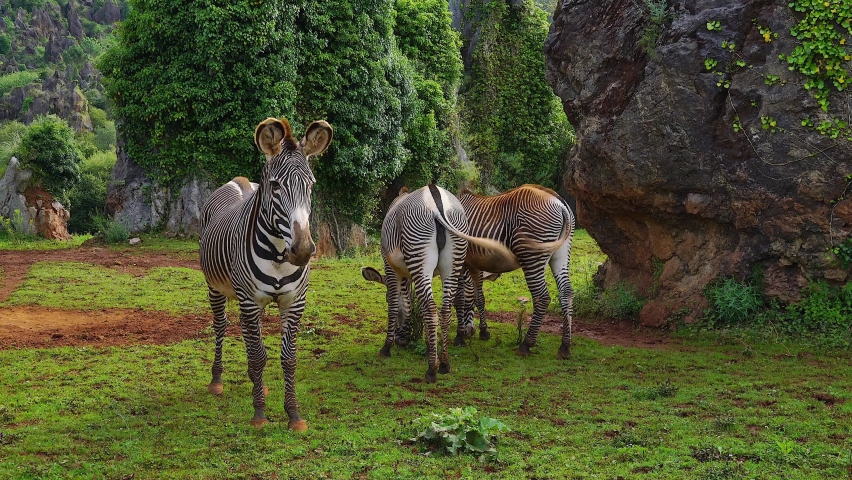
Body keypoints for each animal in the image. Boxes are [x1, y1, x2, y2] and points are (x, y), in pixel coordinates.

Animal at [199, 117, 332, 430]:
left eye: (311, 185)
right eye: (276, 186)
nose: (303, 250)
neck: (279, 254)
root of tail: (238, 181)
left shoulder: (294, 302)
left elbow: (288, 358)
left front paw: (293, 414)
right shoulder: (248, 300)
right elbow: (258, 356)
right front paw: (259, 413)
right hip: (215, 287)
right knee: (221, 326)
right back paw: (217, 380)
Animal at [361, 185, 514, 382]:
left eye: (385, 298)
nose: (401, 340)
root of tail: (436, 199)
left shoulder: (391, 267)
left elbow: (396, 305)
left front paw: (388, 346)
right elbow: (415, 304)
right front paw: (426, 344)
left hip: (419, 255)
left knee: (432, 309)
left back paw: (432, 369)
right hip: (453, 260)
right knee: (446, 308)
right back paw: (444, 363)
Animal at [457, 184, 576, 358]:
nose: (469, 332)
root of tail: (559, 201)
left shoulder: (459, 262)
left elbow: (460, 297)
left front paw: (460, 336)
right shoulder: (475, 264)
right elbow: (478, 297)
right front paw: (482, 331)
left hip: (531, 254)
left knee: (542, 297)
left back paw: (526, 344)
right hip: (561, 252)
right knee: (566, 292)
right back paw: (565, 346)